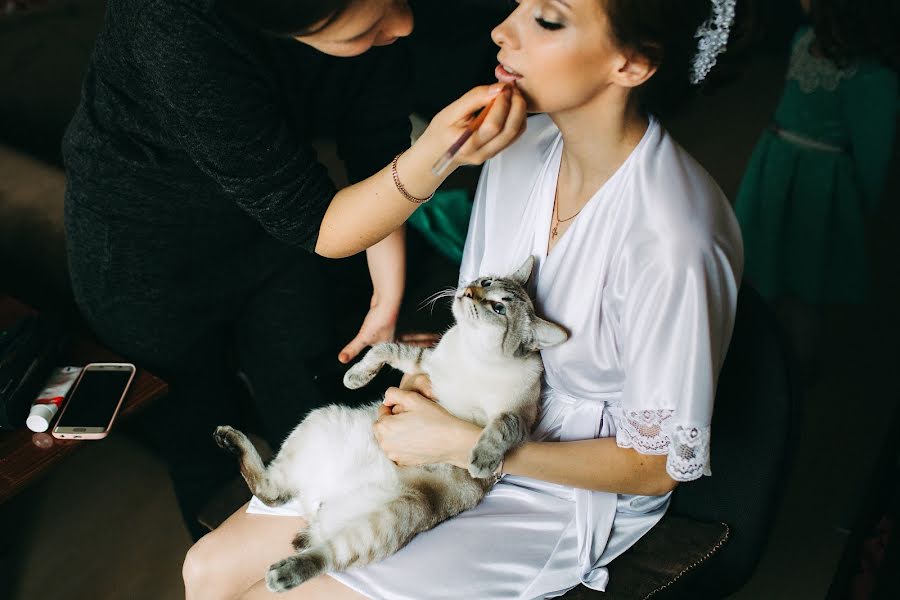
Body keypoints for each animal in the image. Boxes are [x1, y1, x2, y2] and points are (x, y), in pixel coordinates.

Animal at [213, 255, 564, 592]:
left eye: (499, 308)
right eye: (486, 282)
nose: (468, 291)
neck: (473, 355)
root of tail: (313, 506)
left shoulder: (520, 418)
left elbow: (500, 426)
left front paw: (480, 460)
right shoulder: (424, 364)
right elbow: (382, 349)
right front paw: (354, 377)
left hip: (388, 518)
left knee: (325, 554)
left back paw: (283, 573)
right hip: (320, 421)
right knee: (271, 492)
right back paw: (226, 437)